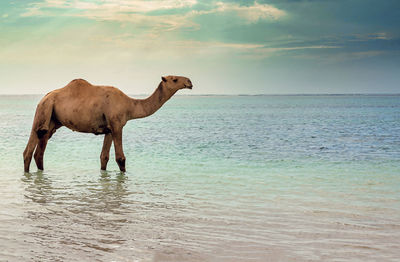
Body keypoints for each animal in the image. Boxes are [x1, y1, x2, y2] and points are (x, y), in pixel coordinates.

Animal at [22, 74, 193, 172]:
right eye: (175, 79)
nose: (190, 82)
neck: (130, 105)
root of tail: (44, 97)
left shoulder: (109, 129)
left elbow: (104, 157)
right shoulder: (117, 124)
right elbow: (120, 158)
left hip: (52, 122)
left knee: (39, 152)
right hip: (42, 111)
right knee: (29, 150)